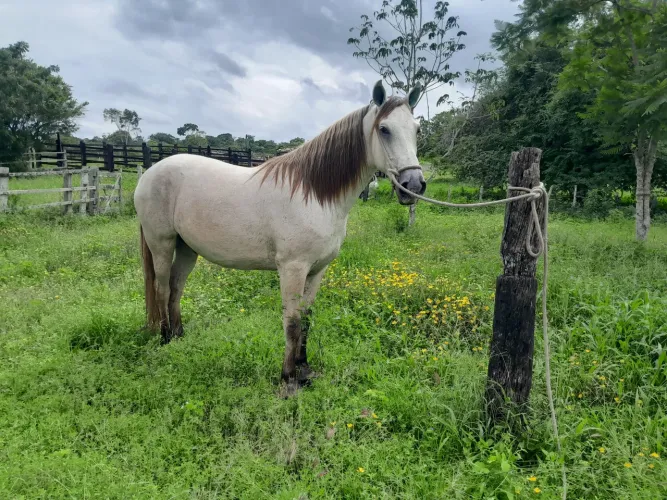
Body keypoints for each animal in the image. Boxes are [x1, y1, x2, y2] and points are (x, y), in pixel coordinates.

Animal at [134, 80, 426, 395]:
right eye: (384, 129)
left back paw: (179, 336)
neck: (315, 194)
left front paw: (305, 370)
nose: (414, 185)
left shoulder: (318, 270)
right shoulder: (292, 268)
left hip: (187, 248)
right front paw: (288, 379)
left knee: (176, 289)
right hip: (162, 243)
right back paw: (165, 339)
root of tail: (149, 173)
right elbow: (292, 322)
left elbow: (307, 318)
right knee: (162, 288)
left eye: (417, 129)